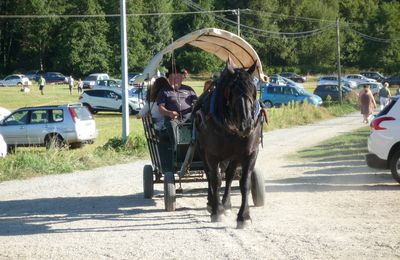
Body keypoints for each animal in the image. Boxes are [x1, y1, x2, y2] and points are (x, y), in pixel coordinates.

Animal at [194, 58, 262, 228]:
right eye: (231, 91)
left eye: (254, 90)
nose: (247, 124)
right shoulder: (211, 154)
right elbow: (216, 180)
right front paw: (217, 211)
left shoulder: (250, 153)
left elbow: (244, 183)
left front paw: (244, 216)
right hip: (202, 151)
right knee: (210, 175)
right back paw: (213, 203)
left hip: (234, 156)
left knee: (230, 176)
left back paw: (227, 204)